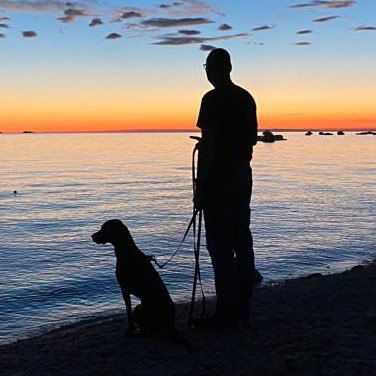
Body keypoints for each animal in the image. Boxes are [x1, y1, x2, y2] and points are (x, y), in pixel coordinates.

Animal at [91, 220, 191, 350]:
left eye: (104, 229)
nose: (92, 236)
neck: (127, 252)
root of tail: (171, 325)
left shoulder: (124, 289)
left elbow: (128, 314)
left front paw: (129, 331)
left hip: (141, 306)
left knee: (146, 330)